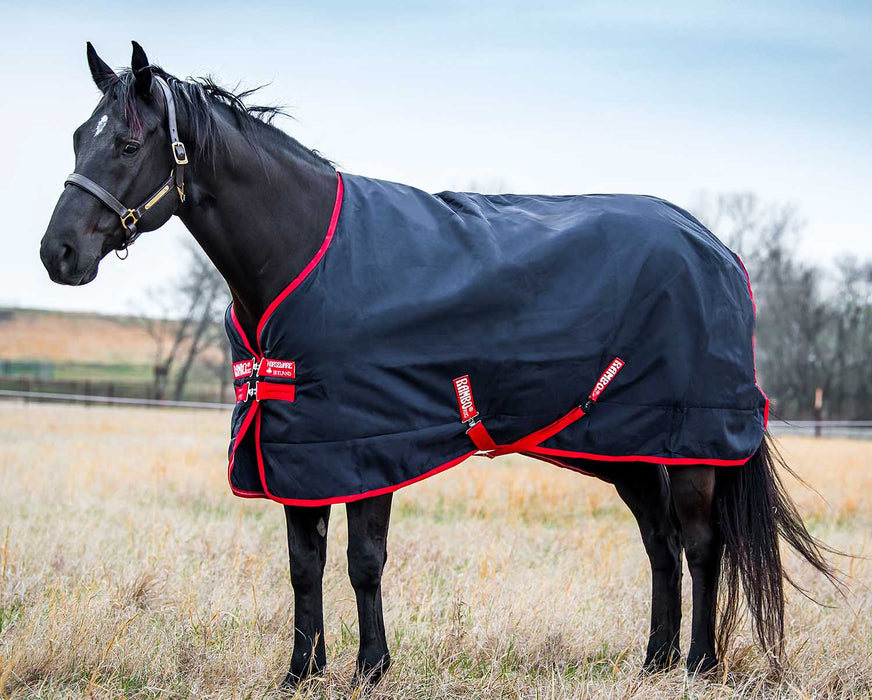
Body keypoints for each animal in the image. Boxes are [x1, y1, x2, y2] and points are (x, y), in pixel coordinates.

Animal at [39, 42, 836, 688]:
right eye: (78, 137)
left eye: (128, 143)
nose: (58, 254)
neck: (304, 251)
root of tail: (716, 246)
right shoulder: (297, 447)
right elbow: (304, 564)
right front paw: (302, 672)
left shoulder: (366, 445)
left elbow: (363, 561)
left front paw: (371, 669)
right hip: (625, 446)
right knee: (660, 543)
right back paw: (654, 661)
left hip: (694, 443)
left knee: (701, 545)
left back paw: (698, 666)